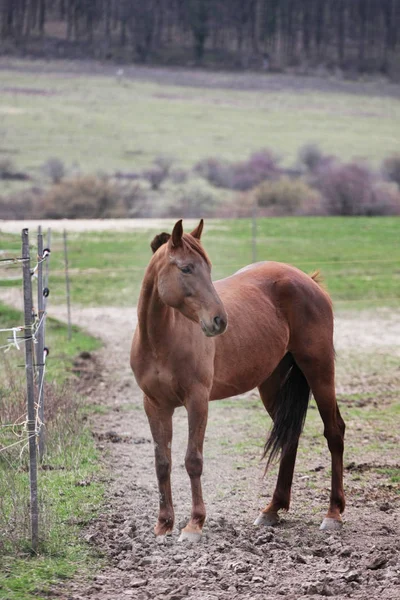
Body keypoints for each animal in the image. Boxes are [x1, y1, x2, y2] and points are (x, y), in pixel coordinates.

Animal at [130, 220, 344, 544]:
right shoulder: (154, 405)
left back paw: (333, 513)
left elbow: (193, 460)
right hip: (272, 384)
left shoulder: (197, 401)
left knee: (334, 431)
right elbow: (162, 463)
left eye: (208, 268)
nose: (219, 321)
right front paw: (164, 524)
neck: (160, 340)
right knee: (290, 438)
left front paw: (194, 525)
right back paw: (272, 509)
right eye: (186, 268)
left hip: (319, 369)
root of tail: (307, 280)